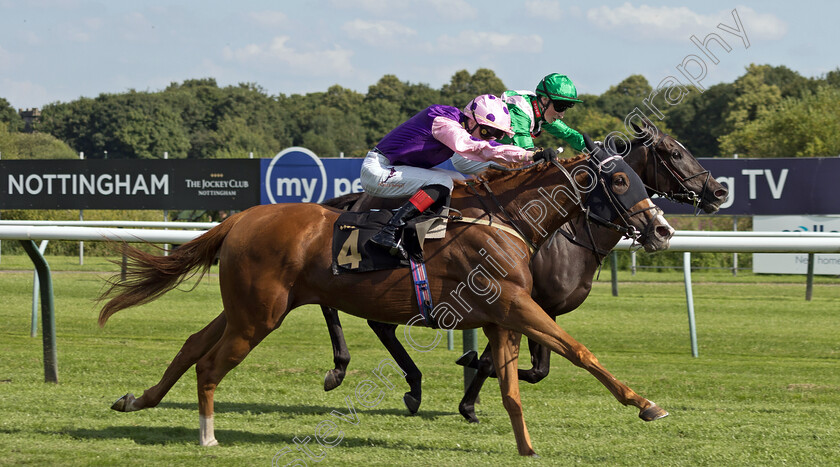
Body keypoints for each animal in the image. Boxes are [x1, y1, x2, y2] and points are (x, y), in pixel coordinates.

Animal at [100, 149, 676, 458]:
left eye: (640, 176)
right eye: (619, 179)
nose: (663, 230)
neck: (505, 217)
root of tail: (240, 218)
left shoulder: (501, 316)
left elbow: (511, 386)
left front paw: (524, 444)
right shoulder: (516, 305)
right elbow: (578, 351)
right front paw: (646, 403)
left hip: (246, 307)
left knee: (193, 344)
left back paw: (136, 400)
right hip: (259, 316)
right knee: (211, 364)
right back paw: (208, 436)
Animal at [316, 120, 728, 420]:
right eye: (674, 153)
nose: (663, 231)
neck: (566, 231)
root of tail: (360, 197)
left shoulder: (538, 307)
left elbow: (532, 366)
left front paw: (471, 390)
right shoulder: (521, 301)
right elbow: (513, 362)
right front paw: (469, 394)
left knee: (372, 319)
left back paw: (409, 385)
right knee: (341, 307)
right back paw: (345, 370)